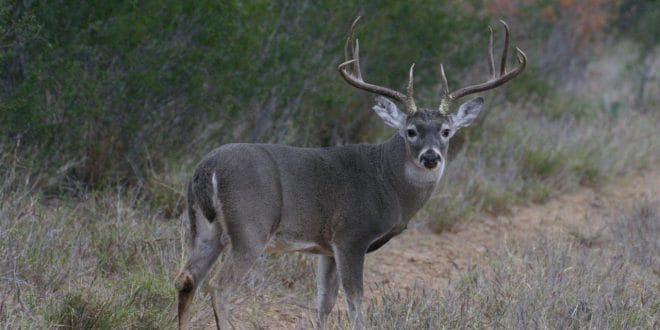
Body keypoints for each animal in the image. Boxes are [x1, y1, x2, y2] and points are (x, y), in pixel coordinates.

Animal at [175, 17, 524, 328]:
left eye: (446, 131)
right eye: (411, 131)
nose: (430, 157)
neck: (388, 183)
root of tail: (207, 169)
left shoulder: (325, 247)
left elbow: (324, 302)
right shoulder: (351, 235)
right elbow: (355, 302)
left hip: (204, 229)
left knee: (186, 279)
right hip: (250, 228)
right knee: (219, 288)